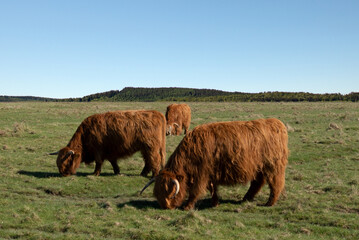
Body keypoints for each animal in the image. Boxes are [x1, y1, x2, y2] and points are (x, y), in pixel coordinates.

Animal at [141, 118, 290, 210]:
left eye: (170, 193)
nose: (166, 206)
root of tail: (277, 123)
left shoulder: (202, 173)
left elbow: (195, 191)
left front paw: (187, 206)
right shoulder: (210, 173)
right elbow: (212, 188)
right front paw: (215, 203)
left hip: (273, 167)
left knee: (275, 184)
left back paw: (269, 203)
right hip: (259, 168)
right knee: (257, 183)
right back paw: (245, 199)